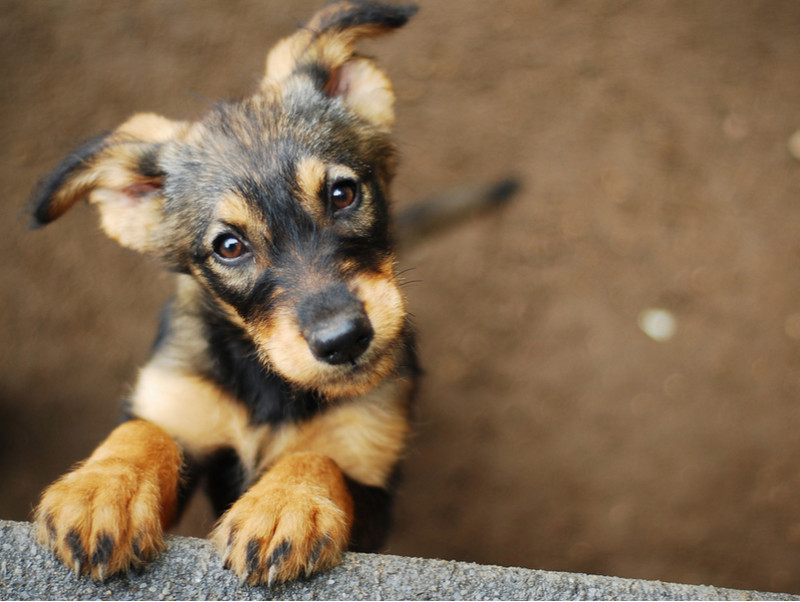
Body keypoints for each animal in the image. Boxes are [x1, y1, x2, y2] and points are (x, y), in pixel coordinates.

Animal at [31, 0, 418, 584]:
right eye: (230, 246)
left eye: (343, 194)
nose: (344, 340)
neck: (270, 385)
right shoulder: (180, 404)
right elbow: (144, 432)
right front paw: (102, 490)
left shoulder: (372, 483)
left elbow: (318, 458)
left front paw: (284, 505)